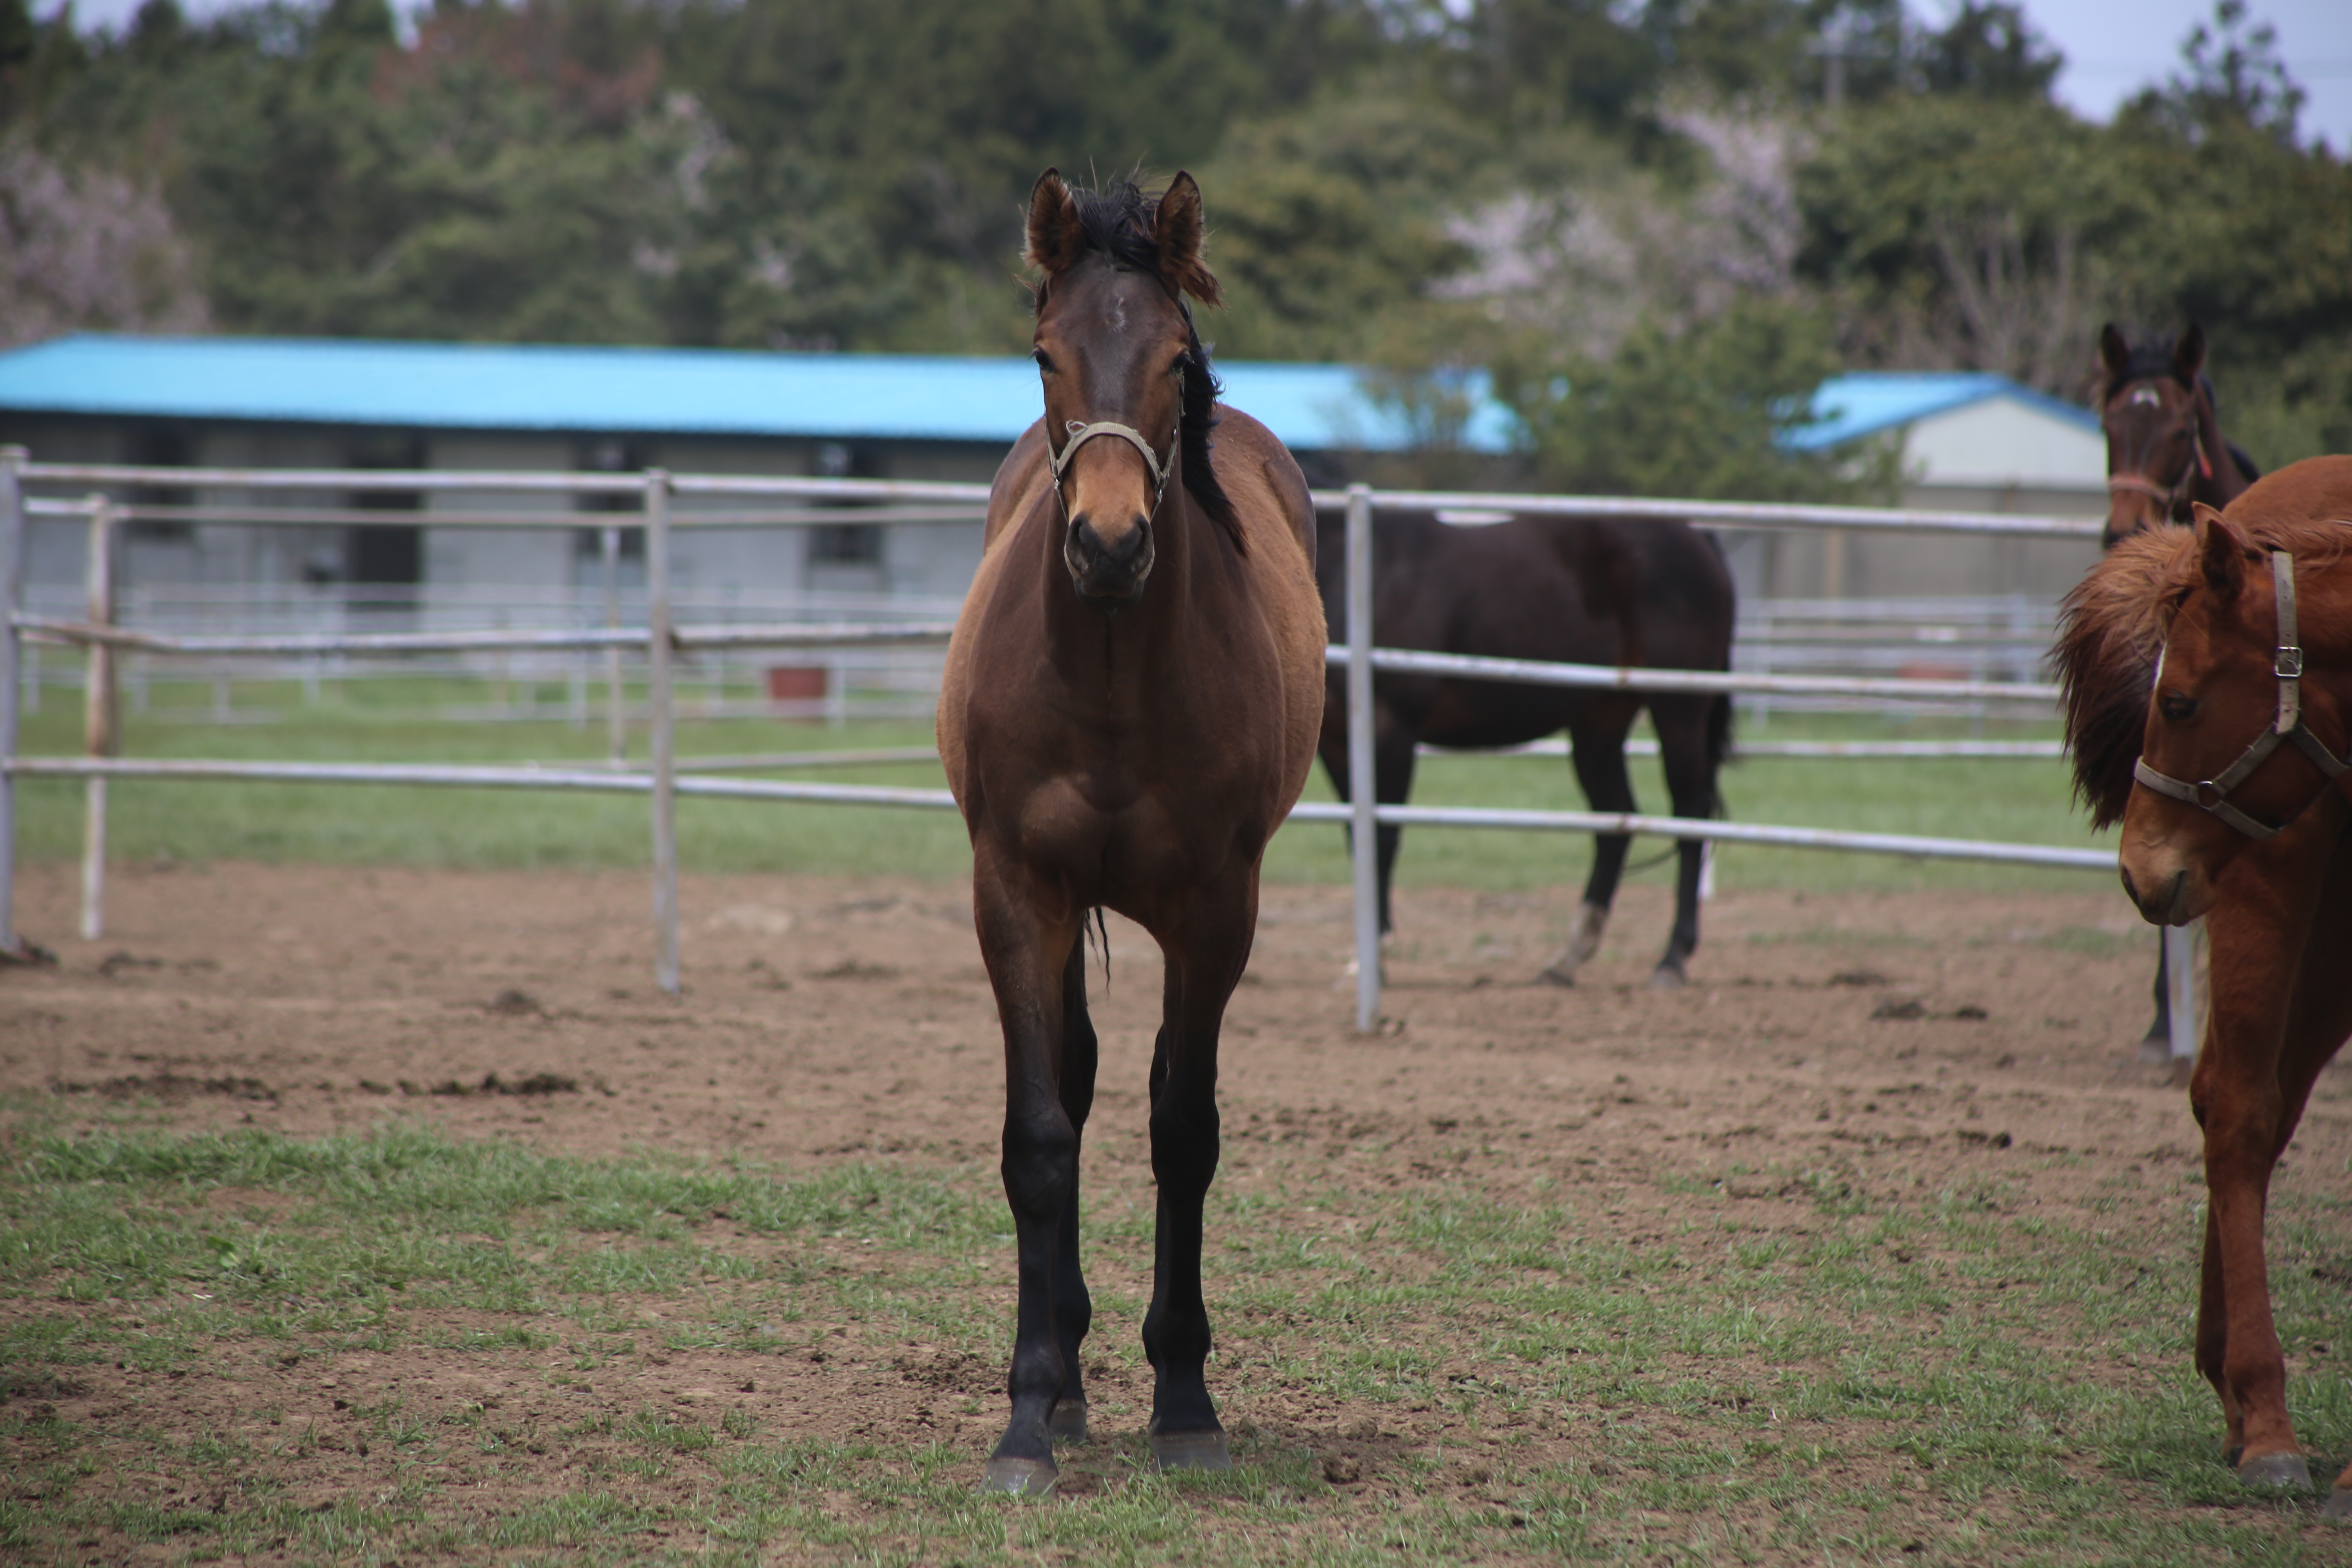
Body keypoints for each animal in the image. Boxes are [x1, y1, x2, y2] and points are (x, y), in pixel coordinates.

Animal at [941, 172, 1345, 1495]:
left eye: (1175, 359)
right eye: (1044, 354)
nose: (1110, 545)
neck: (1112, 680)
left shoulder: (1216, 910)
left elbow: (1184, 1129)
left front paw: (1184, 1402)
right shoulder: (1015, 890)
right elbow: (1039, 1135)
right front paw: (1027, 1415)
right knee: (1071, 1076)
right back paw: (1066, 1377)